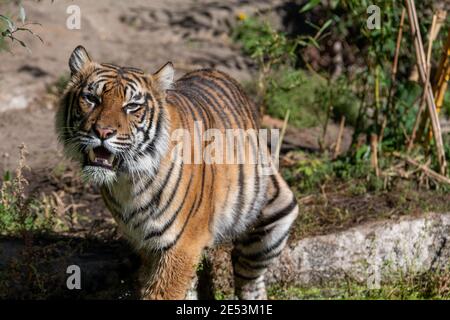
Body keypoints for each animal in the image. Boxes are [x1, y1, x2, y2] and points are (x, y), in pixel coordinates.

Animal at [56, 45, 300, 300]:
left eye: (132, 106)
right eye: (91, 99)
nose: (103, 132)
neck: (127, 181)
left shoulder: (182, 244)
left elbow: (164, 292)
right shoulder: (145, 243)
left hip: (273, 219)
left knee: (249, 278)